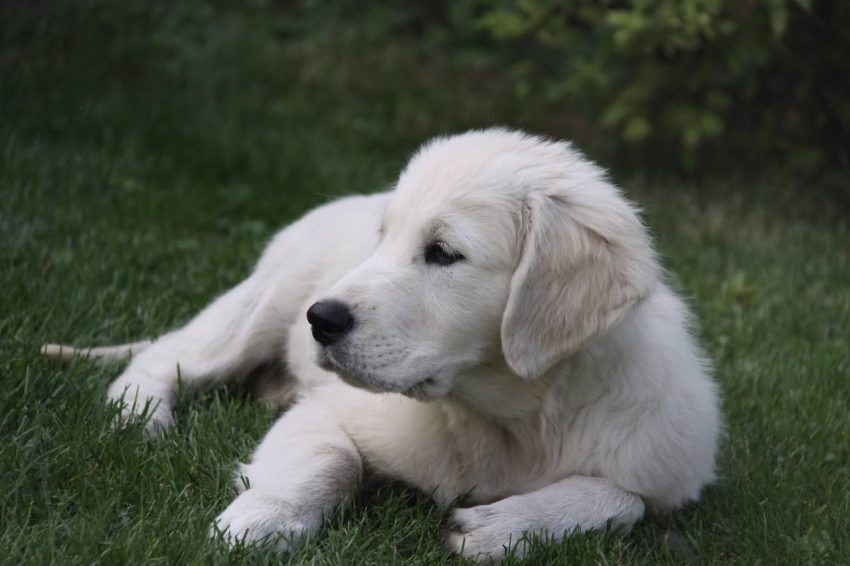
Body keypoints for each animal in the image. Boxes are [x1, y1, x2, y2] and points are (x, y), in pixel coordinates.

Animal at [46, 130, 720, 564]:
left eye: (443, 253)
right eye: (384, 238)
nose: (321, 320)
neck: (506, 418)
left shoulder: (663, 469)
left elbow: (624, 499)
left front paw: (502, 526)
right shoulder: (331, 409)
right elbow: (331, 460)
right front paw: (257, 523)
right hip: (264, 303)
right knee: (163, 357)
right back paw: (141, 419)